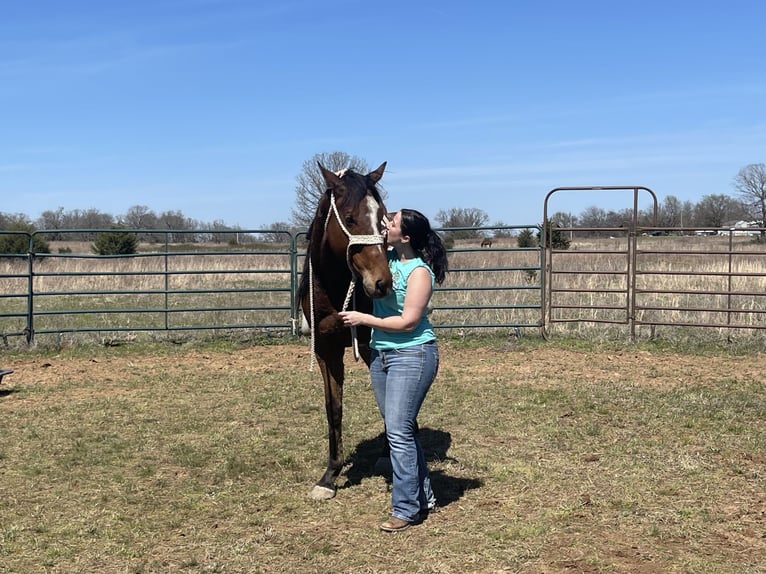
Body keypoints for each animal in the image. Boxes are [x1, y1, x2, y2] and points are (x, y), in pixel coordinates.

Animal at [298, 162, 393, 501]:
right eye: (350, 218)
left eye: (383, 217)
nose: (382, 283)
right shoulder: (326, 350)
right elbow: (333, 408)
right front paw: (329, 476)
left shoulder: (370, 346)